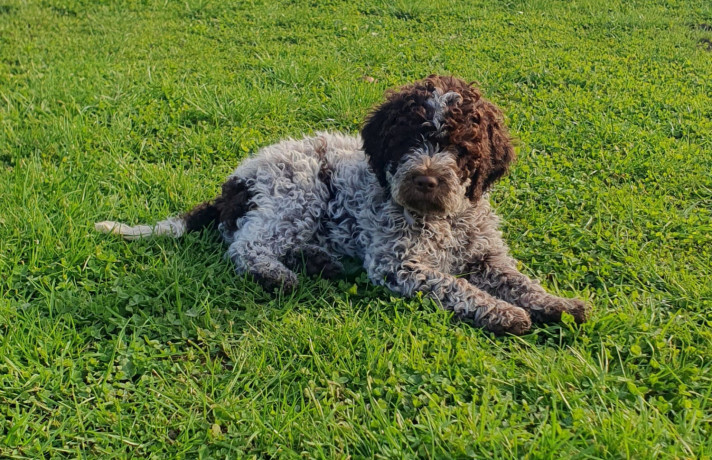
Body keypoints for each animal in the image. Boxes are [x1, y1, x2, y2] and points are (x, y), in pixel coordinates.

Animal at [96, 74, 588, 334]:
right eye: (408, 140)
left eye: (461, 147)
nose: (426, 179)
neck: (444, 219)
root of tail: (233, 184)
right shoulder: (398, 264)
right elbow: (456, 286)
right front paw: (503, 312)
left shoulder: (486, 255)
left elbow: (517, 279)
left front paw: (556, 302)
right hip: (298, 192)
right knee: (246, 246)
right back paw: (279, 275)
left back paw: (319, 261)